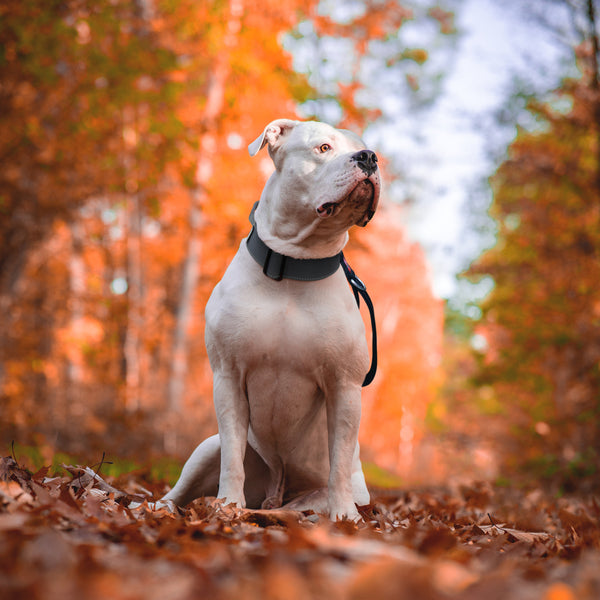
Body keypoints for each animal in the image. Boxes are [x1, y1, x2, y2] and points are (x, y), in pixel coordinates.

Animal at [161, 118, 380, 520]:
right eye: (323, 148)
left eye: (367, 147)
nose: (369, 157)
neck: (292, 265)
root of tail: (277, 492)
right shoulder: (228, 377)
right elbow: (233, 456)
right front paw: (229, 505)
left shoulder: (344, 386)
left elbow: (340, 459)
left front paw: (345, 516)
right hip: (207, 448)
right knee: (183, 487)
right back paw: (157, 506)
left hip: (306, 499)